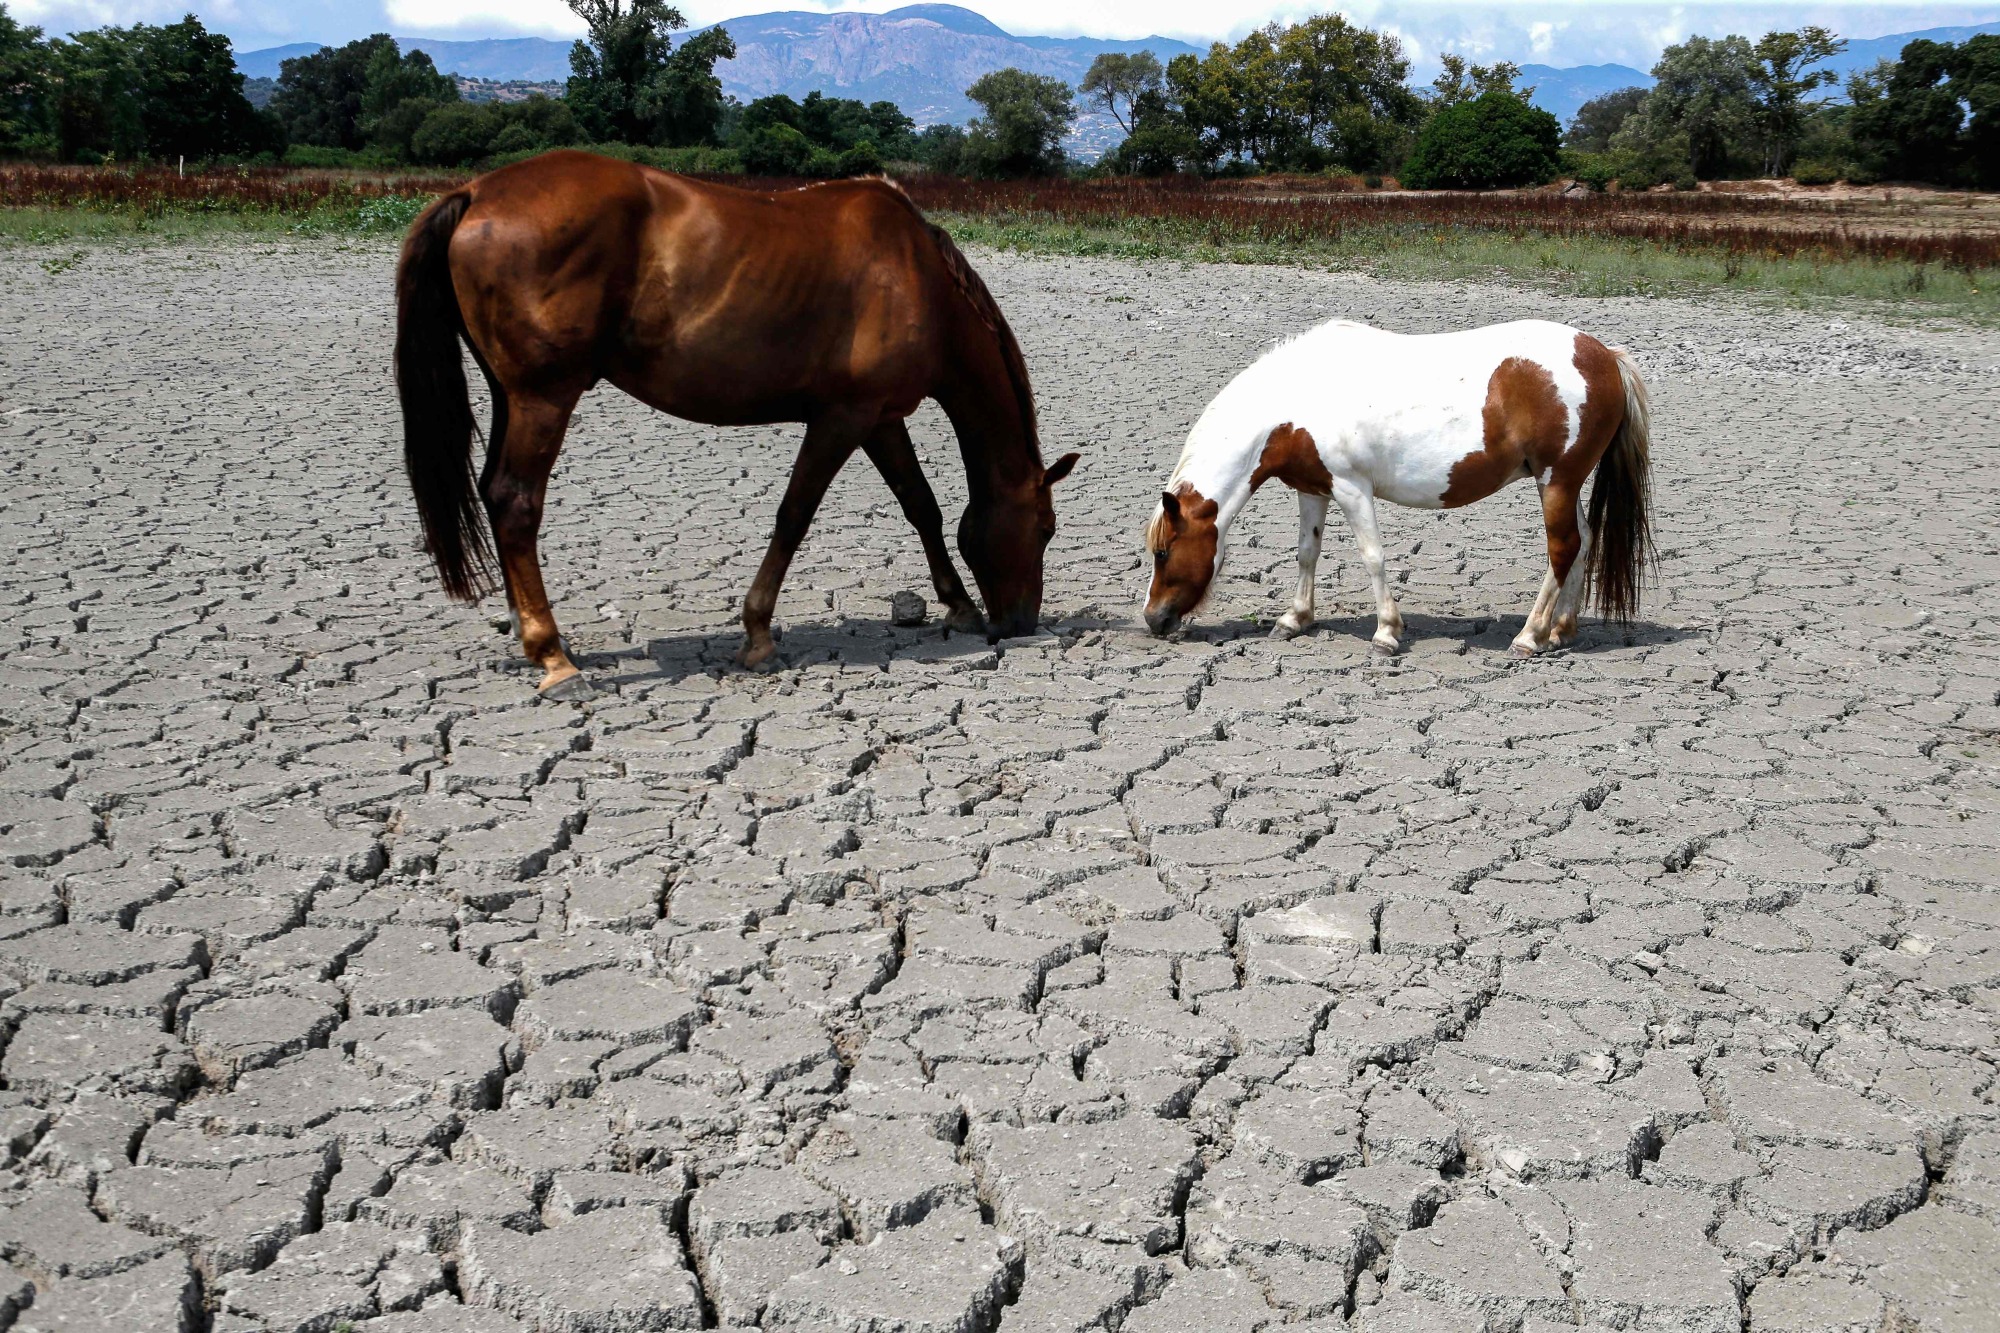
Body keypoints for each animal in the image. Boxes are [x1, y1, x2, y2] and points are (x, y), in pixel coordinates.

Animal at [394, 149, 1080, 696]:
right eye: (1045, 529)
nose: (1018, 625)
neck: (917, 276)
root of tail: (477, 192)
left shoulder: (881, 418)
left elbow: (922, 506)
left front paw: (958, 605)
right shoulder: (843, 417)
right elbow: (794, 516)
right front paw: (758, 635)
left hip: (508, 394)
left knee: (491, 492)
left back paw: (528, 631)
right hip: (543, 397)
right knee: (515, 502)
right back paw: (553, 658)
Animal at [1152, 320, 1648, 656]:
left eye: (1162, 551)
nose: (1153, 619)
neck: (1300, 394)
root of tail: (1605, 355)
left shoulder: (1352, 488)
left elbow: (1373, 557)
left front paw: (1387, 632)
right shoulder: (1313, 489)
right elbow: (1307, 552)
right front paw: (1295, 619)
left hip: (1556, 481)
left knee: (1563, 549)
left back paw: (1530, 636)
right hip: (1565, 483)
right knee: (1583, 543)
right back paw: (1561, 631)